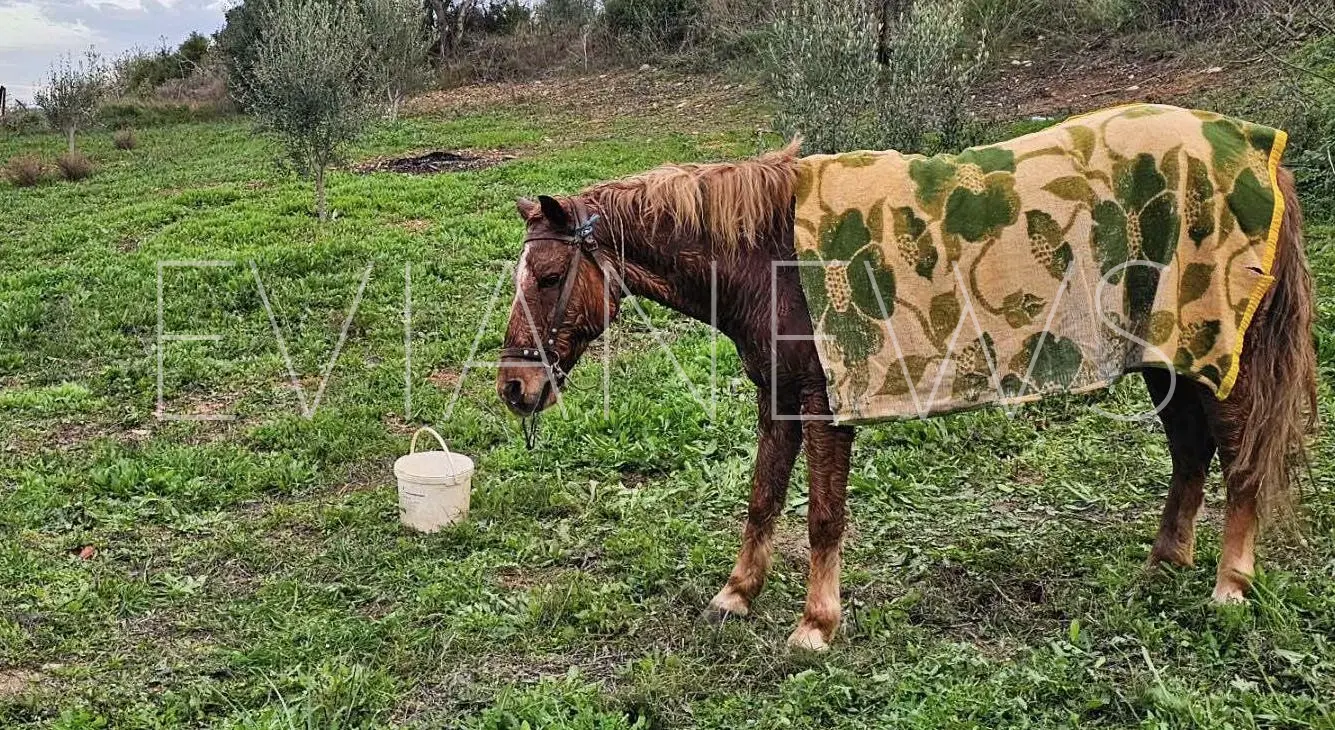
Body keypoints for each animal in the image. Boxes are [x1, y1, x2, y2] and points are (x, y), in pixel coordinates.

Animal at [496, 140, 1318, 653]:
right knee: (1190, 452)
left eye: (548, 277)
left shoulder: (825, 406)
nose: (514, 386)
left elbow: (822, 518)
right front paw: (736, 596)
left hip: (1219, 360)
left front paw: (815, 627)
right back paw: (1164, 565)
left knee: (1239, 459)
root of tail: (1259, 164)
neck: (771, 258)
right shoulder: (778, 401)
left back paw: (1229, 585)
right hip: (1165, 360)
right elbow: (762, 499)